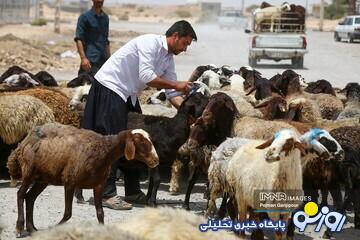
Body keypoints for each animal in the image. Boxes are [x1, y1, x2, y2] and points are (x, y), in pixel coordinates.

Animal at [6, 124, 159, 238]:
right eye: (140, 142)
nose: (156, 160)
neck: (104, 150)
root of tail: (25, 140)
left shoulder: (99, 185)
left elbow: (100, 213)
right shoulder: (70, 181)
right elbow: (68, 214)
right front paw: (55, 228)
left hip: (43, 178)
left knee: (30, 197)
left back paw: (32, 229)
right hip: (29, 172)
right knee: (21, 194)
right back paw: (19, 228)